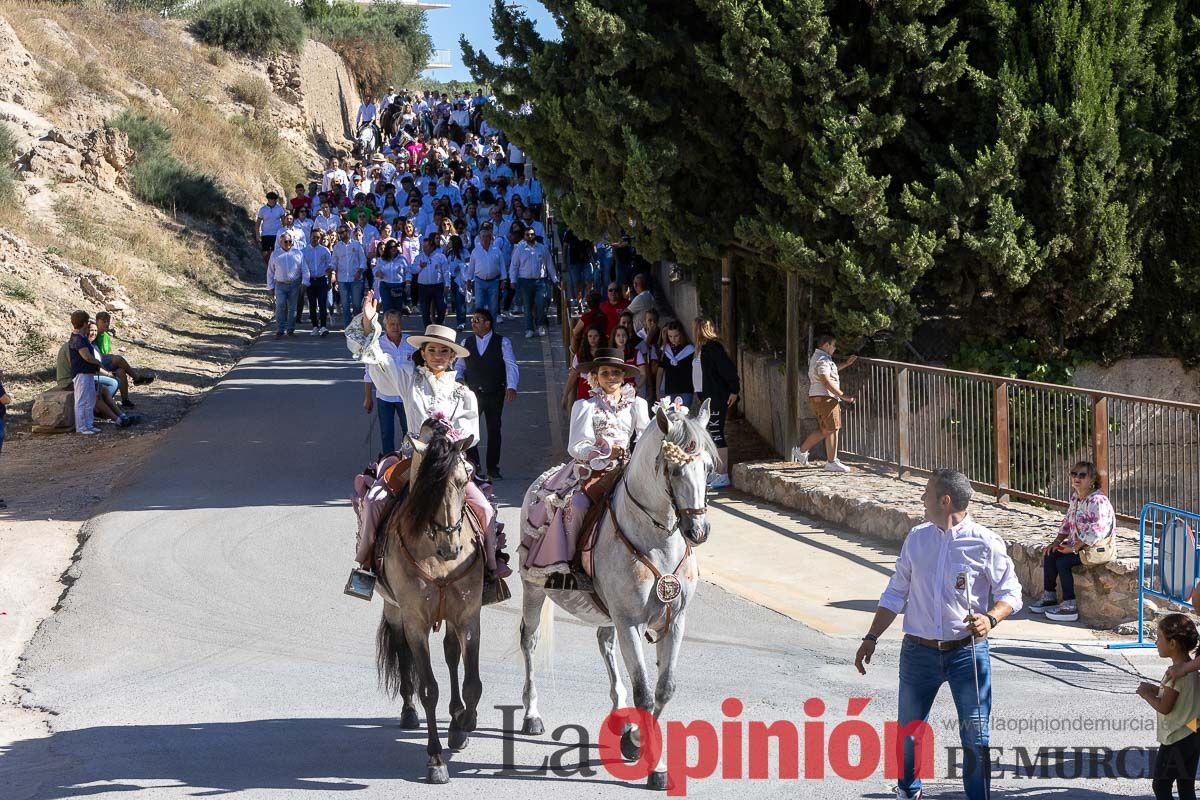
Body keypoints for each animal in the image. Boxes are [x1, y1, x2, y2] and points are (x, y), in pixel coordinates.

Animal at [376, 422, 484, 786]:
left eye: (464, 480)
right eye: (427, 487)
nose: (452, 547)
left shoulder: (468, 616)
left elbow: (472, 683)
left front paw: (463, 726)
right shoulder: (415, 622)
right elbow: (429, 689)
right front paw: (435, 760)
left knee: (451, 653)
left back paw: (456, 717)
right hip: (395, 612)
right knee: (401, 651)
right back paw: (409, 711)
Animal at [513, 402, 710, 791]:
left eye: (708, 468)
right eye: (675, 469)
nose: (698, 530)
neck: (656, 543)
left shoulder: (674, 621)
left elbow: (663, 689)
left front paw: (633, 740)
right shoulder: (630, 622)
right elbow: (645, 692)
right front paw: (654, 766)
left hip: (607, 613)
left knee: (604, 642)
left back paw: (620, 718)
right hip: (534, 589)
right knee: (530, 641)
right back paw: (532, 715)